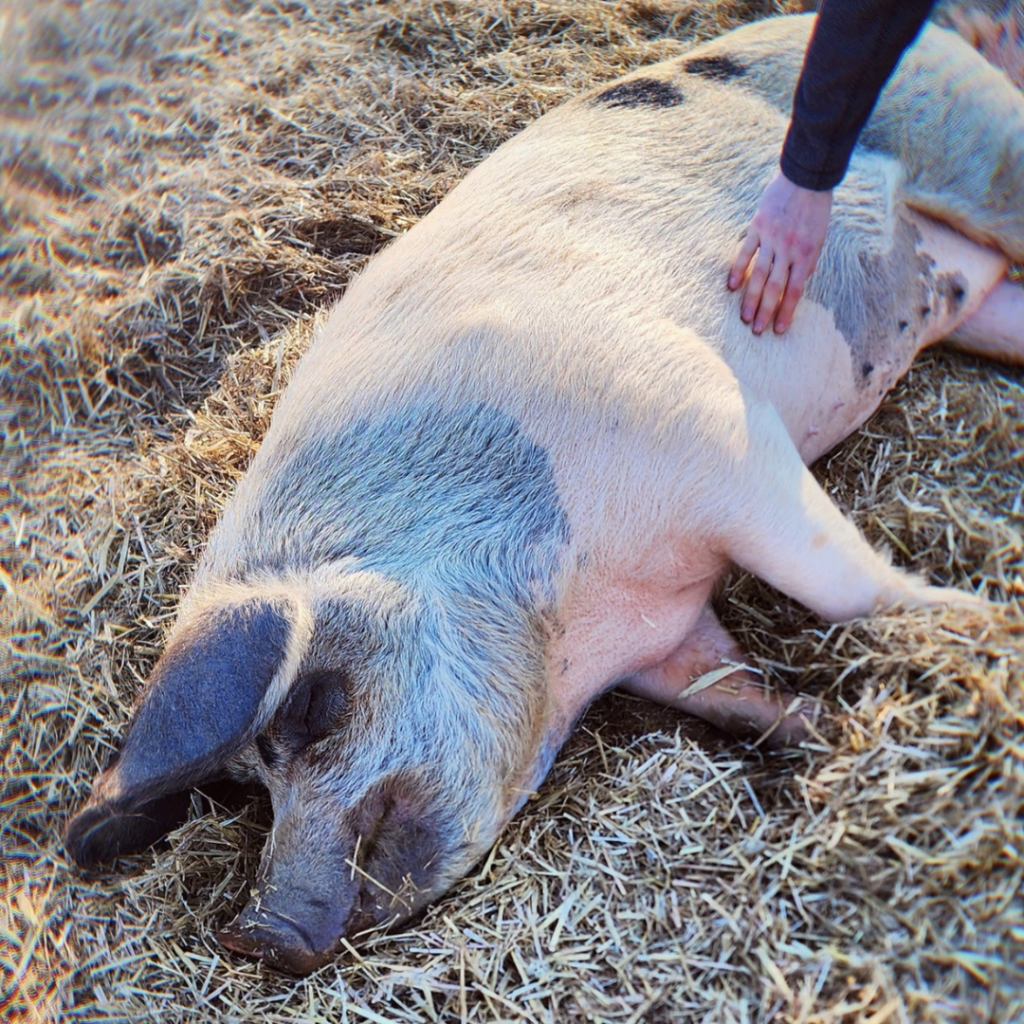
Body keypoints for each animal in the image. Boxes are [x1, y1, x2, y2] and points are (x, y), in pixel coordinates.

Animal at [66, 14, 1024, 974]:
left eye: (311, 706)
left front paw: (978, 629)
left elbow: (842, 583)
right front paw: (826, 727)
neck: (585, 625)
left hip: (969, 137)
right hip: (975, 299)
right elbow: (733, 691)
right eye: (246, 783)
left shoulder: (709, 422)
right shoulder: (668, 638)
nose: (257, 932)